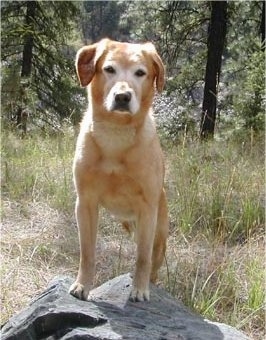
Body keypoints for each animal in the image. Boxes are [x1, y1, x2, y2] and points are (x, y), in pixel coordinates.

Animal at [68, 38, 168, 302]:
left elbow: (142, 257)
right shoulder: (86, 203)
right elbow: (87, 253)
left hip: (159, 232)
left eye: (140, 73)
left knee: (153, 262)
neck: (115, 135)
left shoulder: (147, 210)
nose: (122, 96)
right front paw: (82, 285)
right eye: (109, 69)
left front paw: (140, 289)